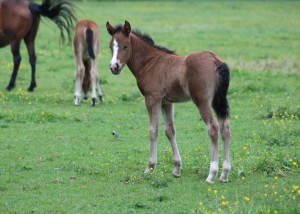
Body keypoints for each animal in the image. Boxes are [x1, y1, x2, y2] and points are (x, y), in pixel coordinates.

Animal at [106, 20, 231, 183]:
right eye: (110, 46)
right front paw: (177, 168)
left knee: (213, 127)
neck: (150, 63)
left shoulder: (152, 99)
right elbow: (170, 131)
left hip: (202, 101)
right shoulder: (167, 102)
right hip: (218, 100)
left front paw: (149, 168)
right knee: (225, 127)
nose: (114, 67)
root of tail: (215, 59)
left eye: (125, 45)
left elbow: (153, 131)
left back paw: (212, 174)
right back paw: (225, 174)